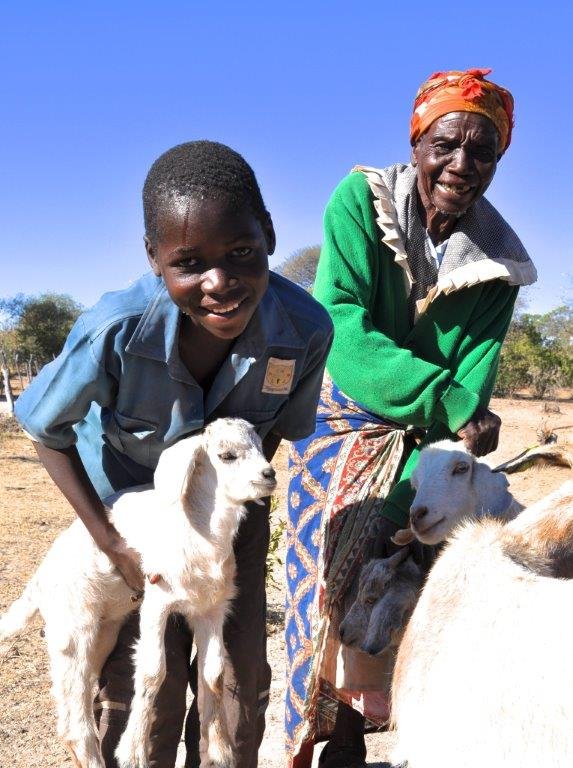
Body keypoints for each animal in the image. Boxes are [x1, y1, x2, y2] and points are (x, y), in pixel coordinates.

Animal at [0, 420, 278, 768]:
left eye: (261, 445)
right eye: (226, 455)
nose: (269, 475)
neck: (198, 532)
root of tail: (39, 579)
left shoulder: (211, 606)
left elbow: (213, 671)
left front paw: (221, 747)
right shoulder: (156, 598)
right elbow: (152, 671)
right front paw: (131, 750)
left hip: (102, 633)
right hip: (72, 627)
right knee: (75, 722)